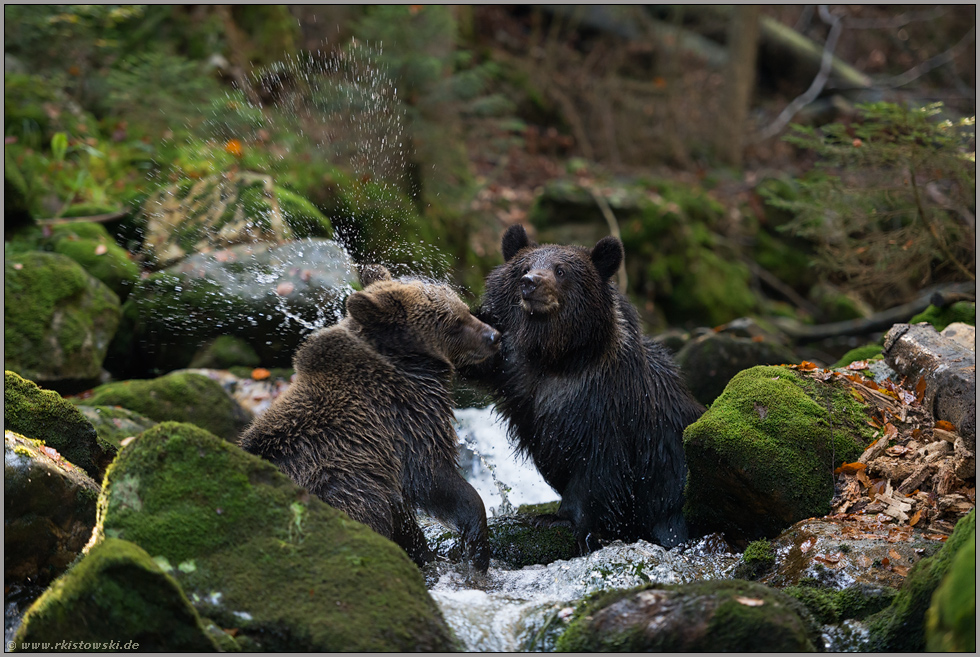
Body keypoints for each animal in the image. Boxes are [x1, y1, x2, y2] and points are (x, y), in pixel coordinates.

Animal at [237, 264, 498, 572]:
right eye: (454, 321)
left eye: (464, 308)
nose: (494, 336)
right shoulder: (403, 424)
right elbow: (433, 478)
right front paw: (476, 544)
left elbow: (407, 522)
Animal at [462, 226, 704, 552]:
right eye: (524, 268)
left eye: (560, 270)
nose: (530, 283)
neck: (558, 356)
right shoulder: (516, 370)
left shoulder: (604, 405)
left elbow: (596, 467)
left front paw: (558, 518)